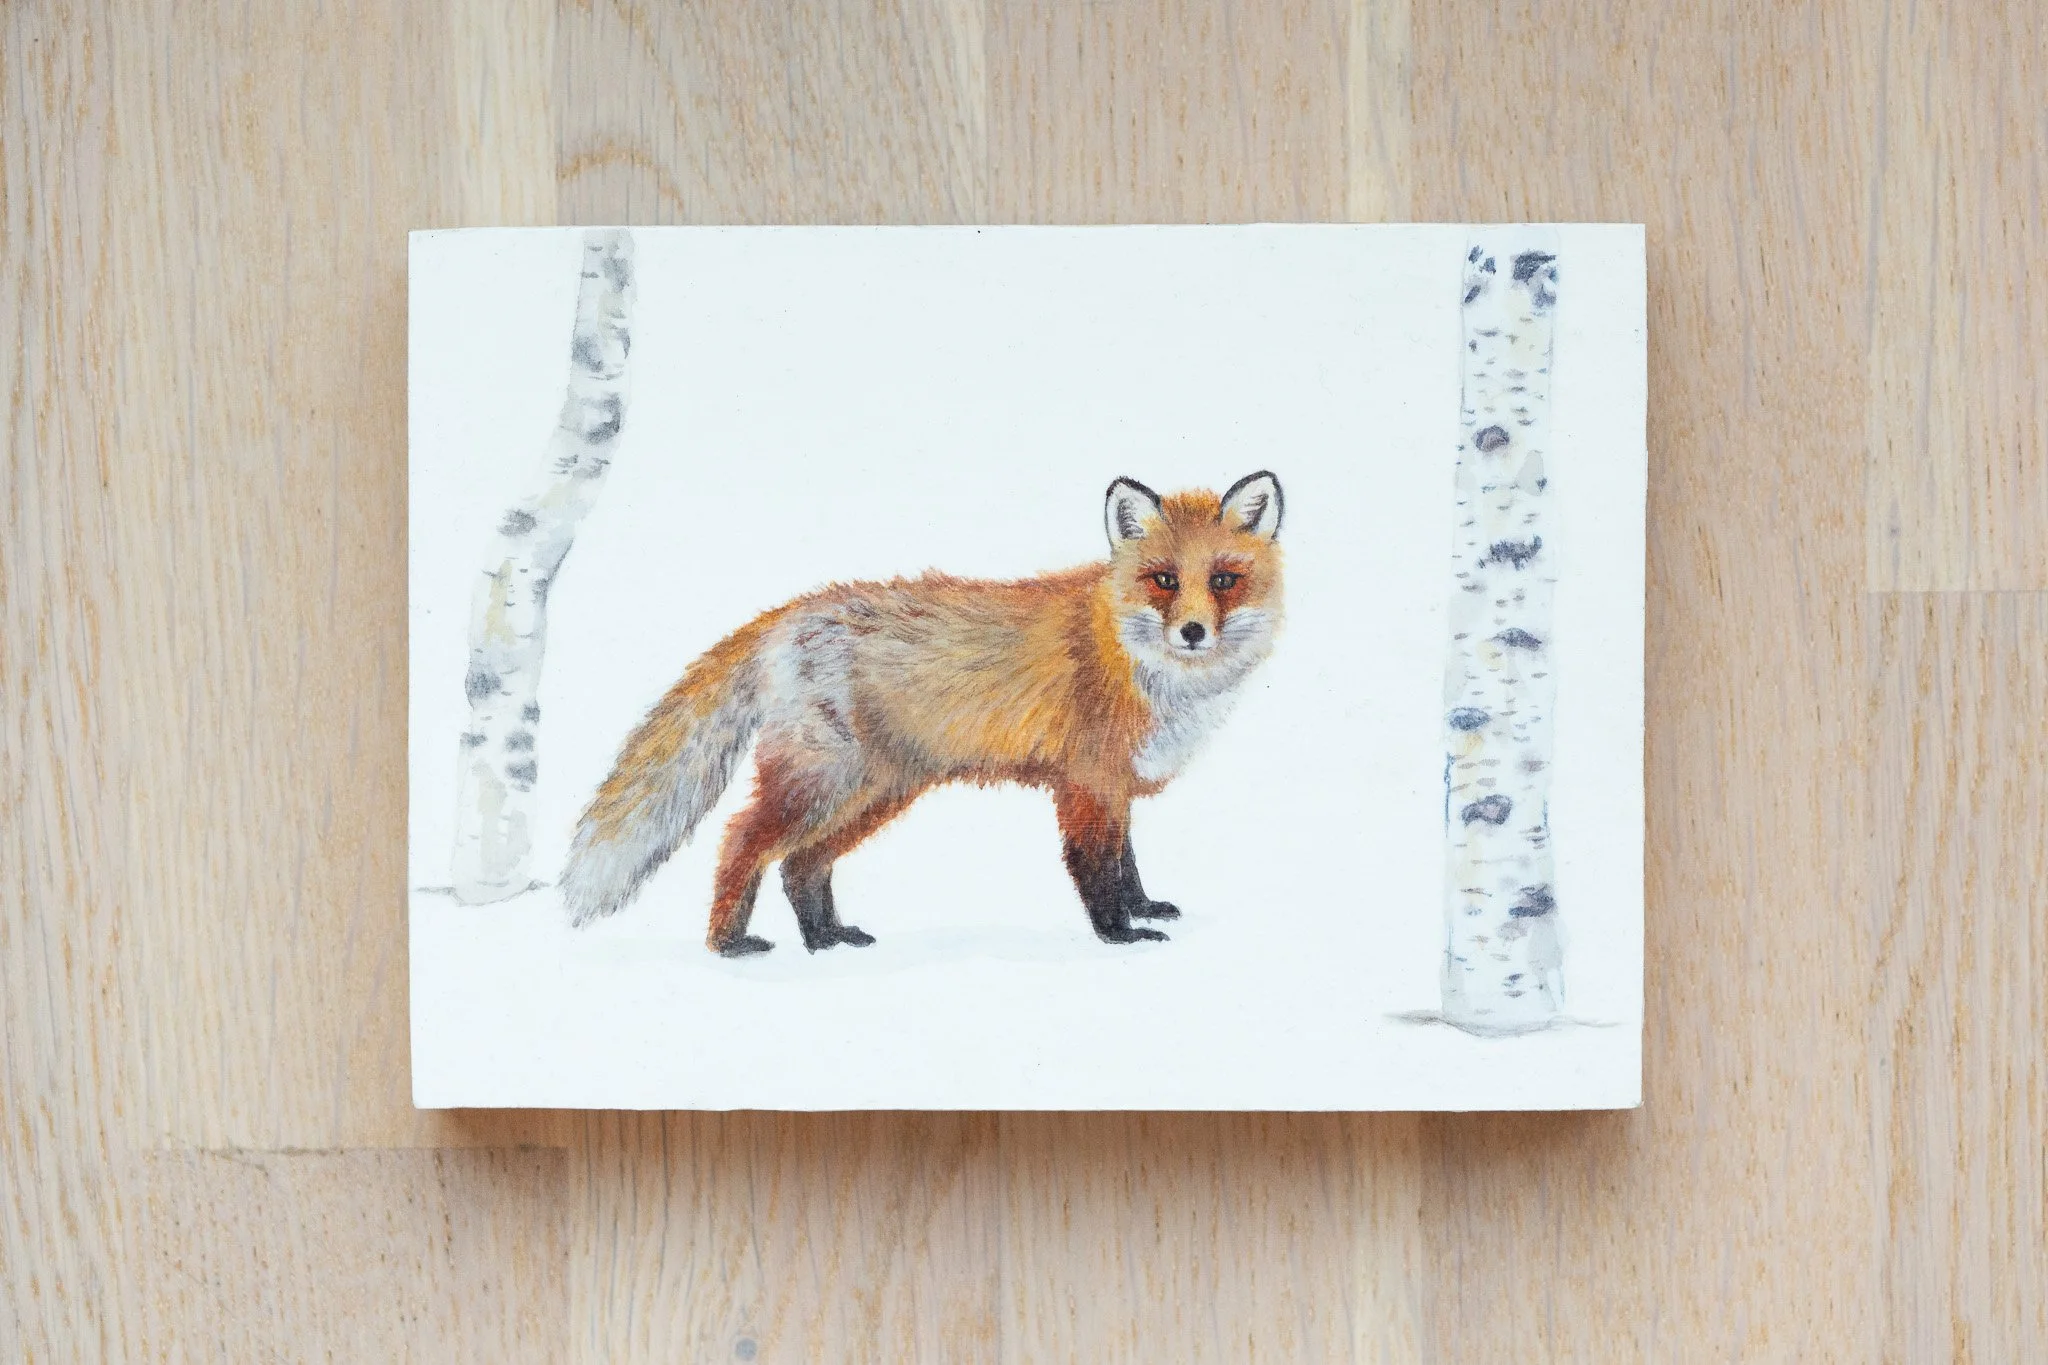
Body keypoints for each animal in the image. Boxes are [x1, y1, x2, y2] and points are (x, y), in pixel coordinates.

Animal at [558, 471, 1285, 955]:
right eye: (1164, 579)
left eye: (1224, 580)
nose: (1193, 631)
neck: (1139, 663)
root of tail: (790, 612)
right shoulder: (1086, 784)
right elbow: (1098, 869)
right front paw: (1119, 933)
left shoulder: (1115, 788)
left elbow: (1129, 864)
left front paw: (1143, 908)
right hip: (825, 783)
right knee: (741, 841)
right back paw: (728, 944)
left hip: (875, 792)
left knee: (801, 866)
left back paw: (826, 937)